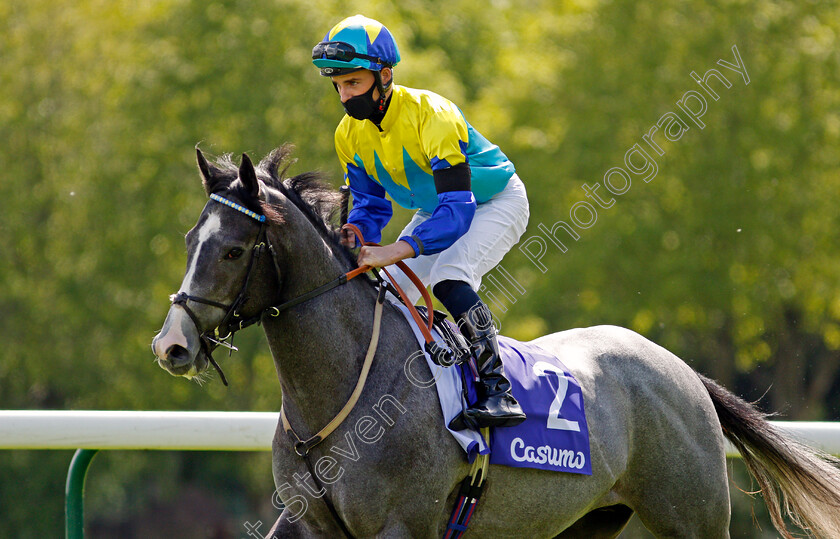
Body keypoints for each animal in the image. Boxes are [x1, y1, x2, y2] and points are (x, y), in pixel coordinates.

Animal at [153, 146, 840, 536]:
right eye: (189, 241)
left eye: (233, 249)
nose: (171, 345)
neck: (343, 395)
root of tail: (682, 372)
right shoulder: (308, 525)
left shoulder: (402, 525)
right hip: (586, 521)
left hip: (691, 516)